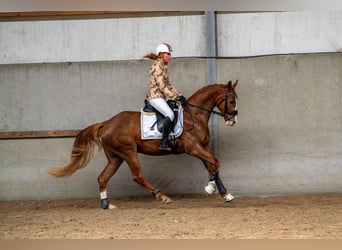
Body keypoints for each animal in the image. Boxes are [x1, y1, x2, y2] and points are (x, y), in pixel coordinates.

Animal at [48, 80, 238, 209]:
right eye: (231, 101)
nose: (233, 120)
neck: (195, 116)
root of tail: (107, 123)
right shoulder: (194, 148)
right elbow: (215, 163)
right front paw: (210, 188)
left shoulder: (203, 147)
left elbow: (212, 165)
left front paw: (225, 193)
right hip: (129, 152)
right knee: (137, 175)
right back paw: (162, 196)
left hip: (115, 157)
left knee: (103, 177)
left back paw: (106, 204)